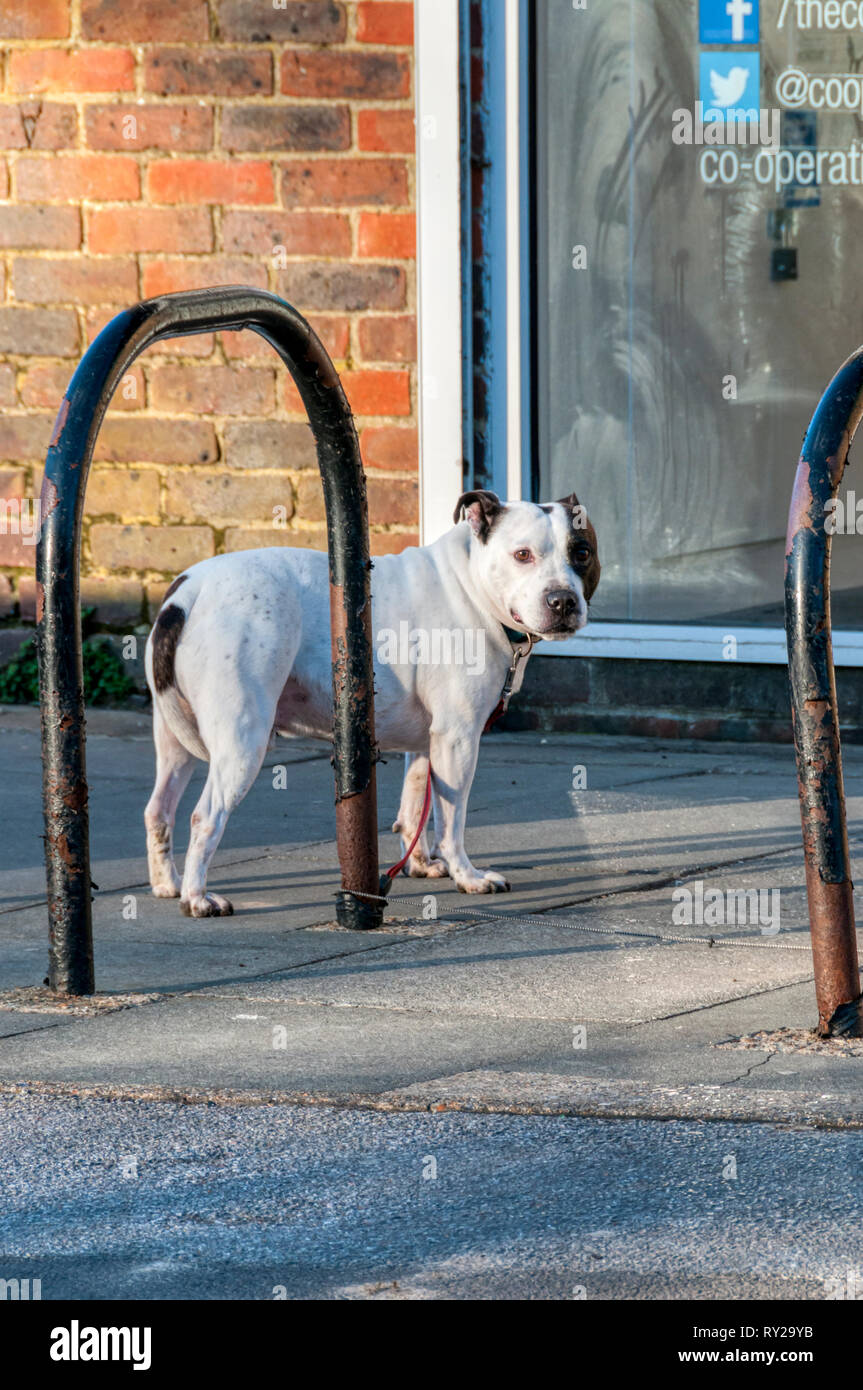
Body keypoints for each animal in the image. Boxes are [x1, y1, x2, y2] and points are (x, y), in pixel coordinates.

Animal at [143, 494, 600, 917]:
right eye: (523, 555)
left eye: (581, 553)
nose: (562, 600)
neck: (471, 584)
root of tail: (189, 590)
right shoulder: (458, 739)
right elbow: (451, 820)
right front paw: (467, 877)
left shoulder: (428, 743)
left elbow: (415, 806)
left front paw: (420, 864)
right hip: (242, 741)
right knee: (204, 817)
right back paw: (197, 899)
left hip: (173, 743)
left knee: (158, 809)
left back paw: (169, 885)